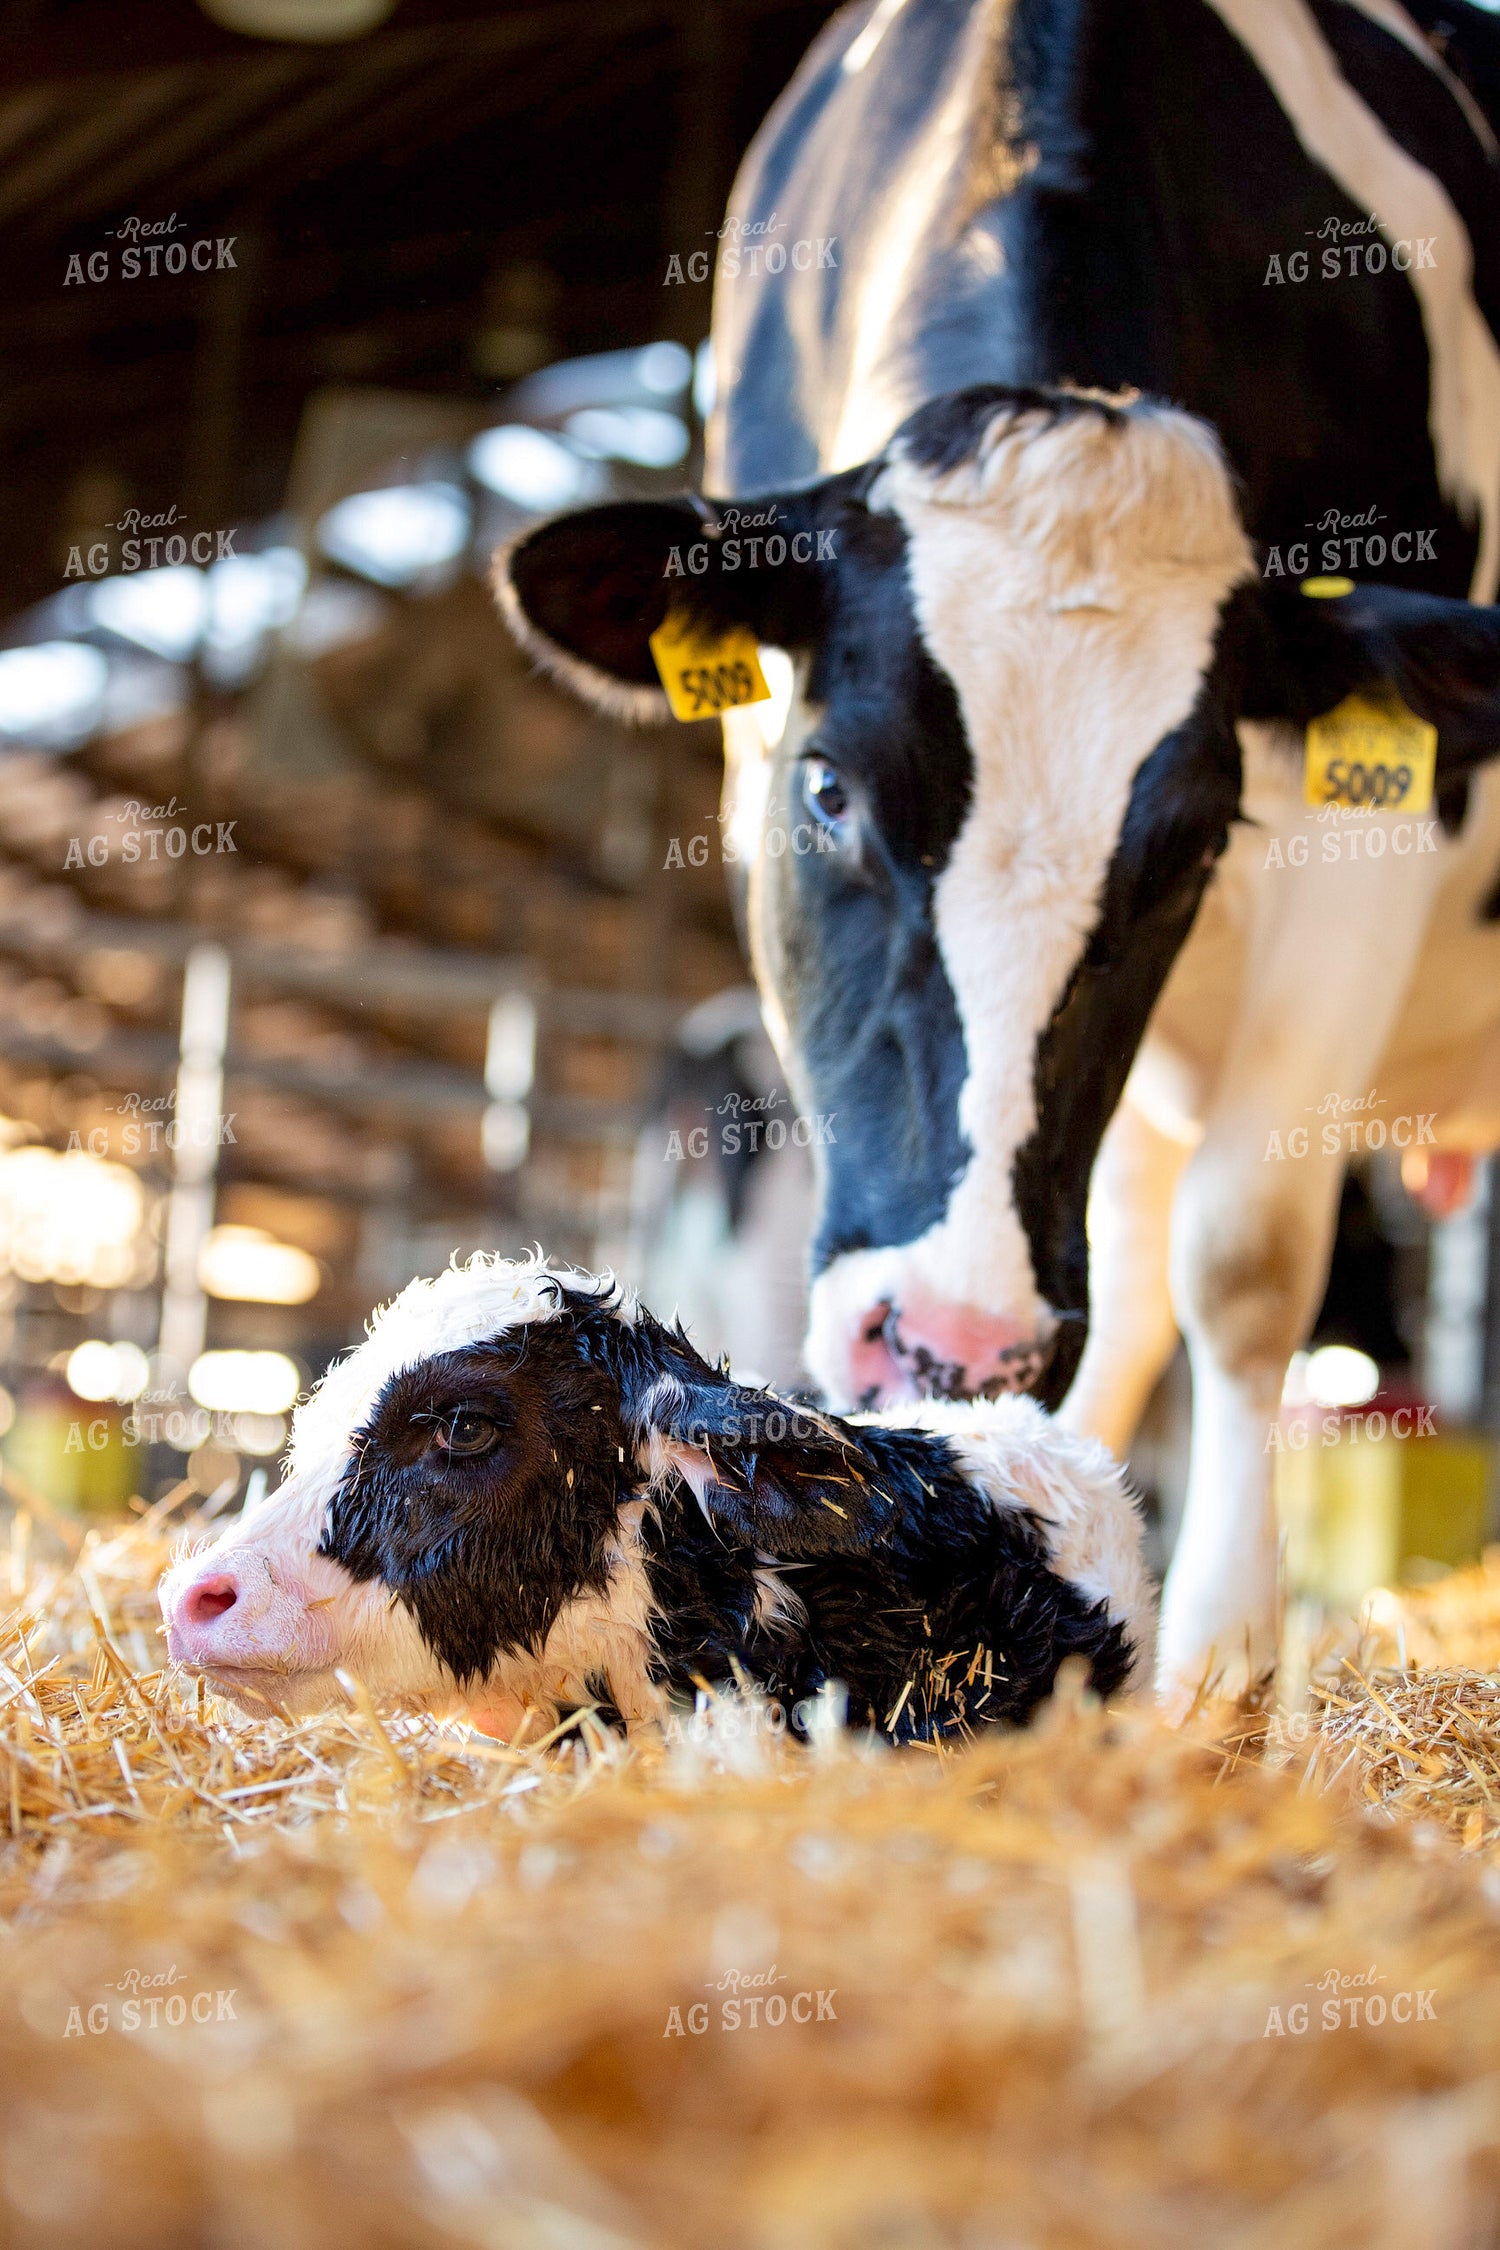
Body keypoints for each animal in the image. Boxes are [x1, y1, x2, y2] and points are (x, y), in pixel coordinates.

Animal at [495, 0, 1500, 1702]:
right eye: (827, 787)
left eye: (1193, 844)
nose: (953, 1344)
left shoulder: (1368, 846)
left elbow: (1244, 1260)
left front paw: (1221, 1681)